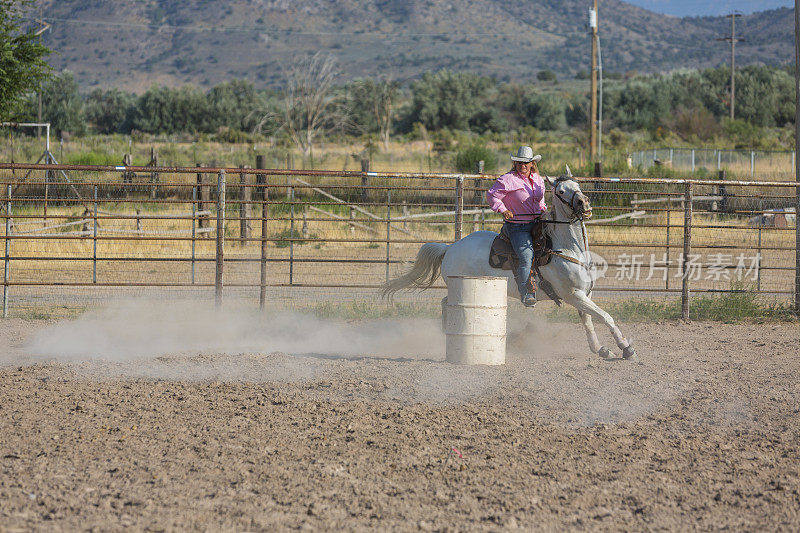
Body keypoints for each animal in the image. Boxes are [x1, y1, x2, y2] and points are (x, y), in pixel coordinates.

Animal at [382, 168, 636, 360]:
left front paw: (601, 349)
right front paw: (626, 347)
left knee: (446, 302)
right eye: (561, 191)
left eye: (578, 184)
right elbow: (605, 317)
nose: (584, 204)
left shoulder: (584, 294)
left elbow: (589, 321)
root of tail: (450, 248)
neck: (566, 248)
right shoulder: (573, 295)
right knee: (447, 303)